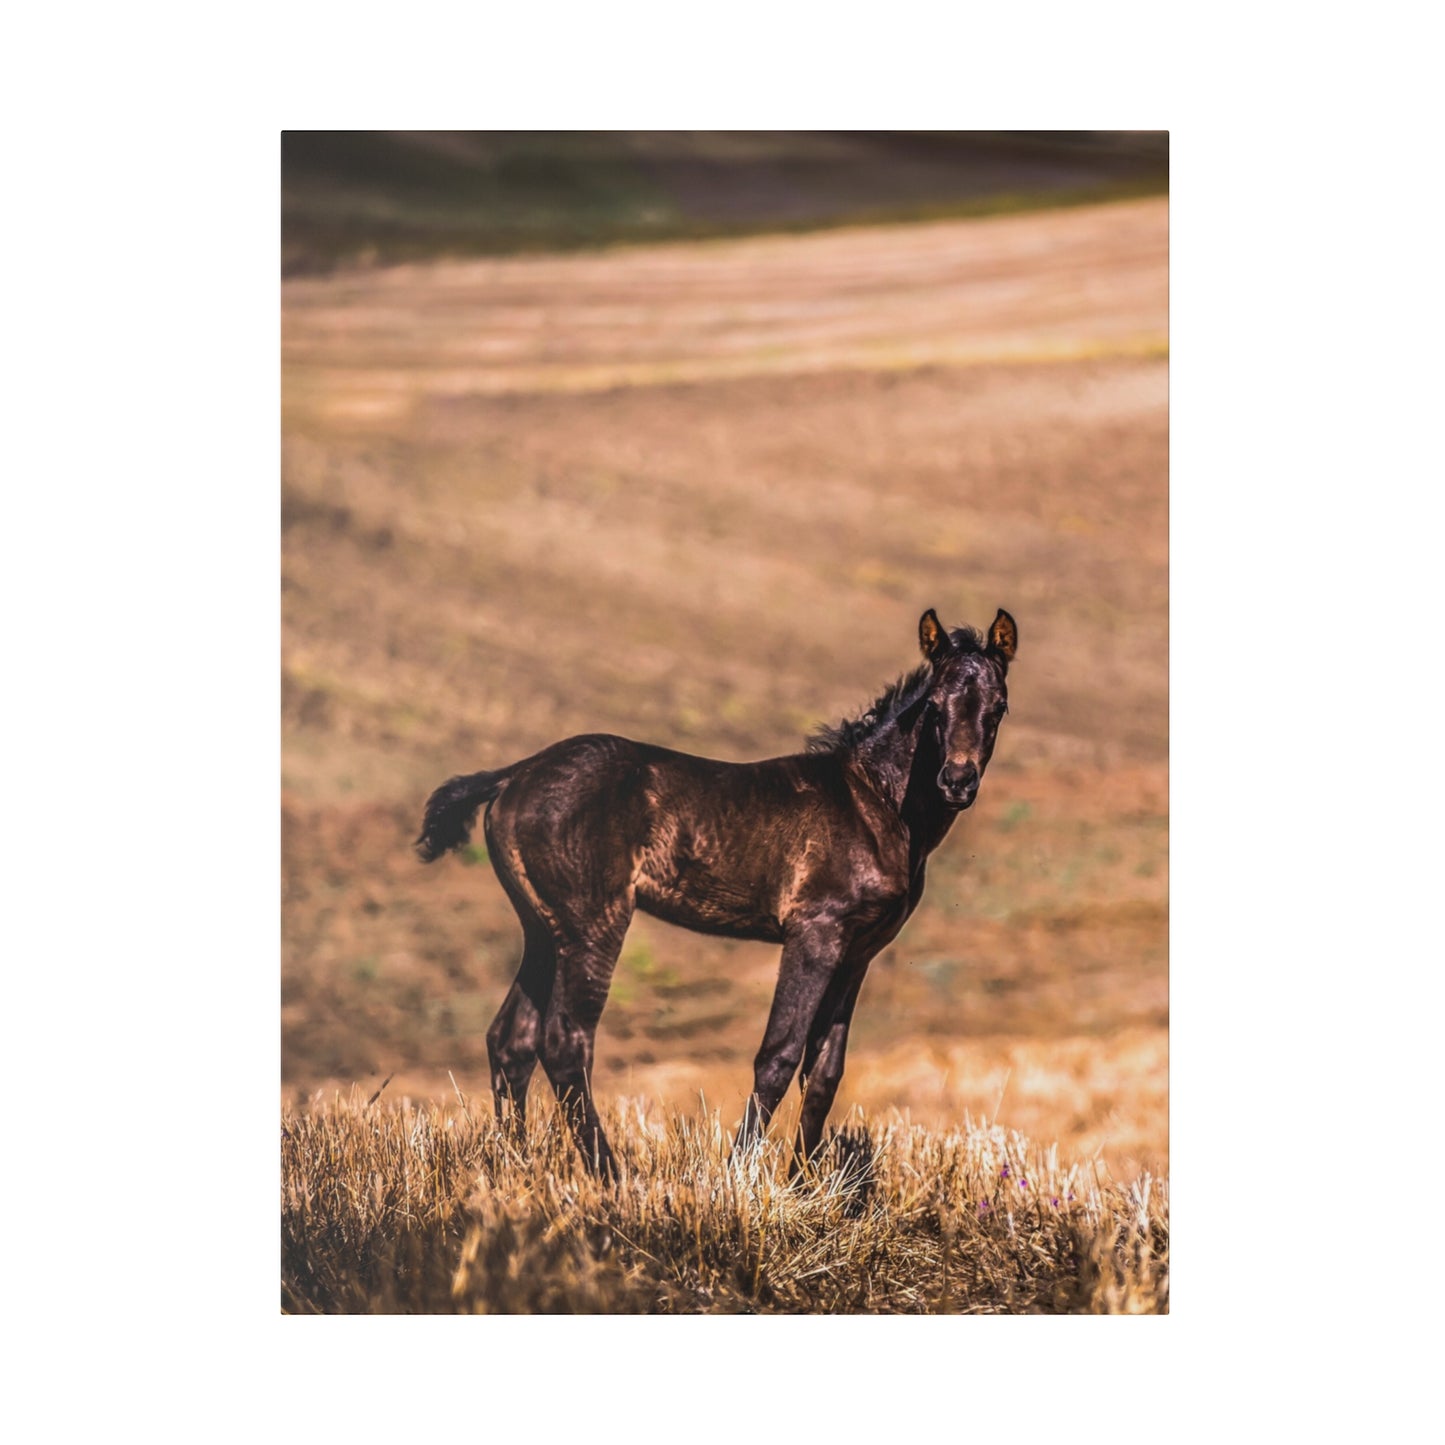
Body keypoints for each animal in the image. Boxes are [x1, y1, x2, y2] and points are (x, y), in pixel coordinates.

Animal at [419, 604, 1017, 1179]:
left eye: (999, 707)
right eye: (934, 707)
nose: (957, 781)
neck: (876, 802)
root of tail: (514, 775)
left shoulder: (858, 953)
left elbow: (825, 1071)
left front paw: (804, 1185)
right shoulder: (816, 934)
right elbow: (778, 1056)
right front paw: (740, 1178)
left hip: (543, 929)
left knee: (511, 1039)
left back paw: (512, 1164)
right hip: (593, 923)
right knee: (564, 1041)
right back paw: (611, 1177)